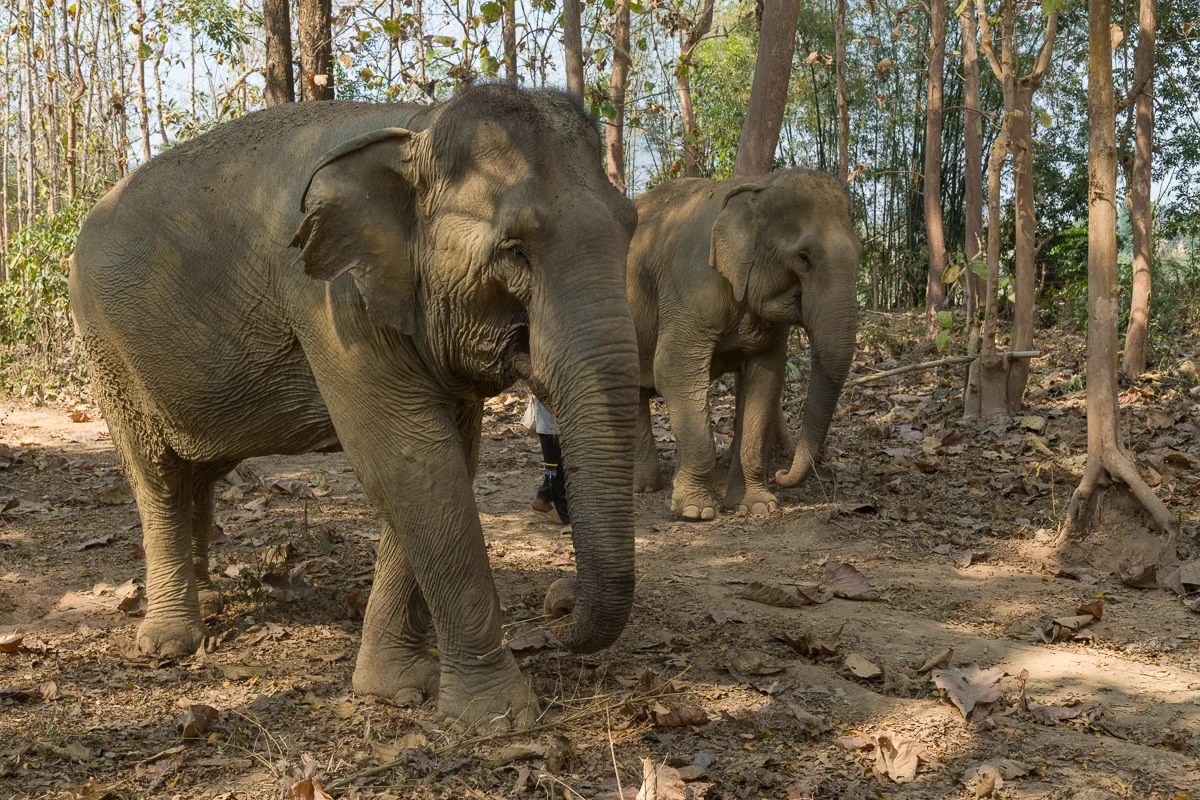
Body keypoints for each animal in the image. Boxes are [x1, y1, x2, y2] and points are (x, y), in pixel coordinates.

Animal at [68, 85, 640, 730]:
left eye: (630, 228)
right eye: (514, 250)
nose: (559, 604)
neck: (419, 124)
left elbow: (442, 461)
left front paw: (400, 689)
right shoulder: (331, 301)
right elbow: (412, 460)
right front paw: (497, 717)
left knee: (199, 471)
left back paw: (210, 597)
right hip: (108, 348)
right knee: (158, 474)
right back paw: (171, 642)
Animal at [626, 169, 861, 520]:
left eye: (861, 253)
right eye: (803, 257)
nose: (781, 474)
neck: (758, 186)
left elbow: (766, 377)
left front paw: (757, 506)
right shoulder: (690, 285)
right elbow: (673, 368)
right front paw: (695, 511)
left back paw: (645, 485)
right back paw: (641, 488)